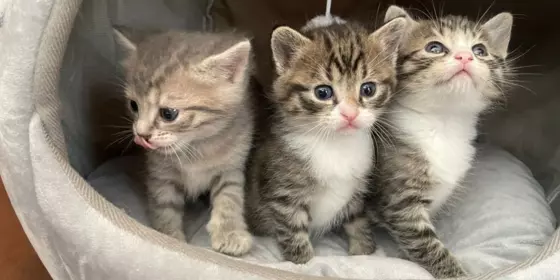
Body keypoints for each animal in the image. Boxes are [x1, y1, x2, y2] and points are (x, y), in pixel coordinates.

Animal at [116, 28, 256, 256]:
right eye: (133, 105)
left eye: (168, 113)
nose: (141, 134)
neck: (195, 147)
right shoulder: (160, 174)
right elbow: (164, 207)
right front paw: (168, 238)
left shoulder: (231, 166)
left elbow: (230, 196)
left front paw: (230, 233)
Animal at [246, 18, 406, 264]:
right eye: (323, 92)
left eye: (368, 89)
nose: (350, 114)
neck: (335, 145)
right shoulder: (284, 198)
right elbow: (294, 236)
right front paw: (303, 263)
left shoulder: (357, 192)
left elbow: (358, 222)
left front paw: (364, 252)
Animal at [368, 5, 516, 276]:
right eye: (434, 47)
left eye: (480, 50)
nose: (465, 57)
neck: (443, 123)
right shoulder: (401, 202)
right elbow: (426, 245)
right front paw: (455, 273)